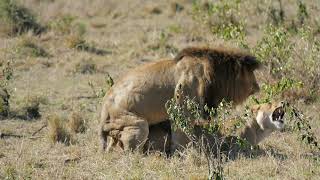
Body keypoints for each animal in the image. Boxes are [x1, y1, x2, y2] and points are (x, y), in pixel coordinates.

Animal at [99, 46, 260, 152]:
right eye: (251, 76)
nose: (258, 87)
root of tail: (103, 113)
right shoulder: (183, 104)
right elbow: (182, 136)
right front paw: (186, 153)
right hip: (137, 125)